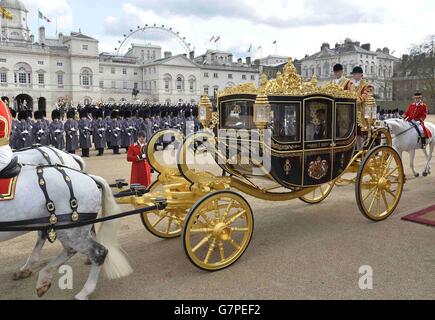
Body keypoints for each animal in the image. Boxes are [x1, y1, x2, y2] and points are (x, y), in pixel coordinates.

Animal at [0, 165, 133, 300]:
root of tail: (89, 177)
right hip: (64, 229)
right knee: (70, 249)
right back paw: (43, 277)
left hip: (70, 230)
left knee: (98, 253)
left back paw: (84, 292)